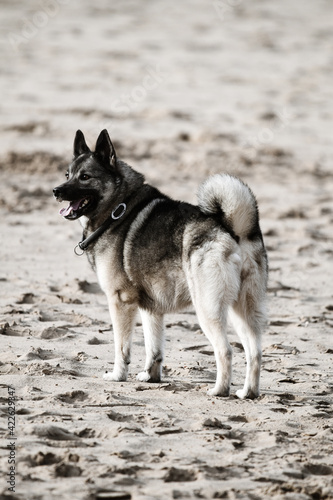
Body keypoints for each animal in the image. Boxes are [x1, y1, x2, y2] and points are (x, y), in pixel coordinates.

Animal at [54, 129, 268, 398]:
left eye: (85, 177)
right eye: (67, 174)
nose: (56, 190)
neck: (117, 208)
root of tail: (231, 230)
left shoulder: (120, 301)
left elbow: (121, 347)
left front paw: (117, 376)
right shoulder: (151, 308)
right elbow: (153, 348)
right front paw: (151, 377)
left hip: (208, 308)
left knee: (225, 351)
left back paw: (219, 390)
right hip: (243, 310)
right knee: (255, 353)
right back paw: (248, 392)